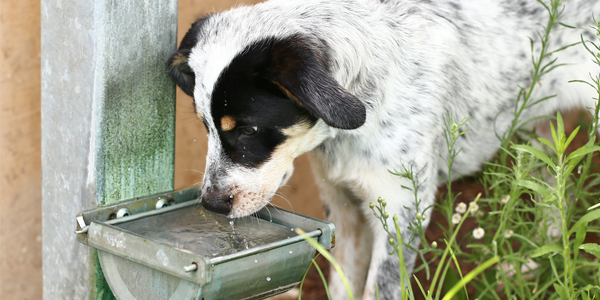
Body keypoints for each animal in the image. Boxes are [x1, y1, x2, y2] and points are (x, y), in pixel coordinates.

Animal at [168, 1, 600, 298]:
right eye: (206, 126)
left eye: (248, 130)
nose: (212, 204)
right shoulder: (344, 211)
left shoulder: (400, 212)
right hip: (543, 135)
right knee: (553, 198)